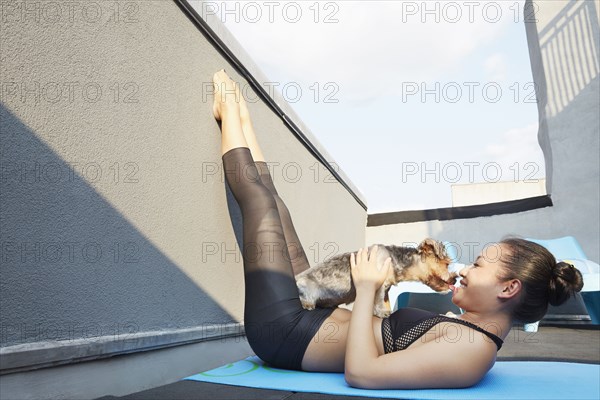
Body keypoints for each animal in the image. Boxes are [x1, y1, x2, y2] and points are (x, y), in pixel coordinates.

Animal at [296, 238, 454, 318]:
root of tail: (297, 277)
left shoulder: (386, 289)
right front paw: (381, 313)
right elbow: (378, 300)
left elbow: (384, 301)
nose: (454, 279)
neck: (393, 260)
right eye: (446, 264)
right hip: (307, 287)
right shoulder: (378, 284)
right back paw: (307, 304)